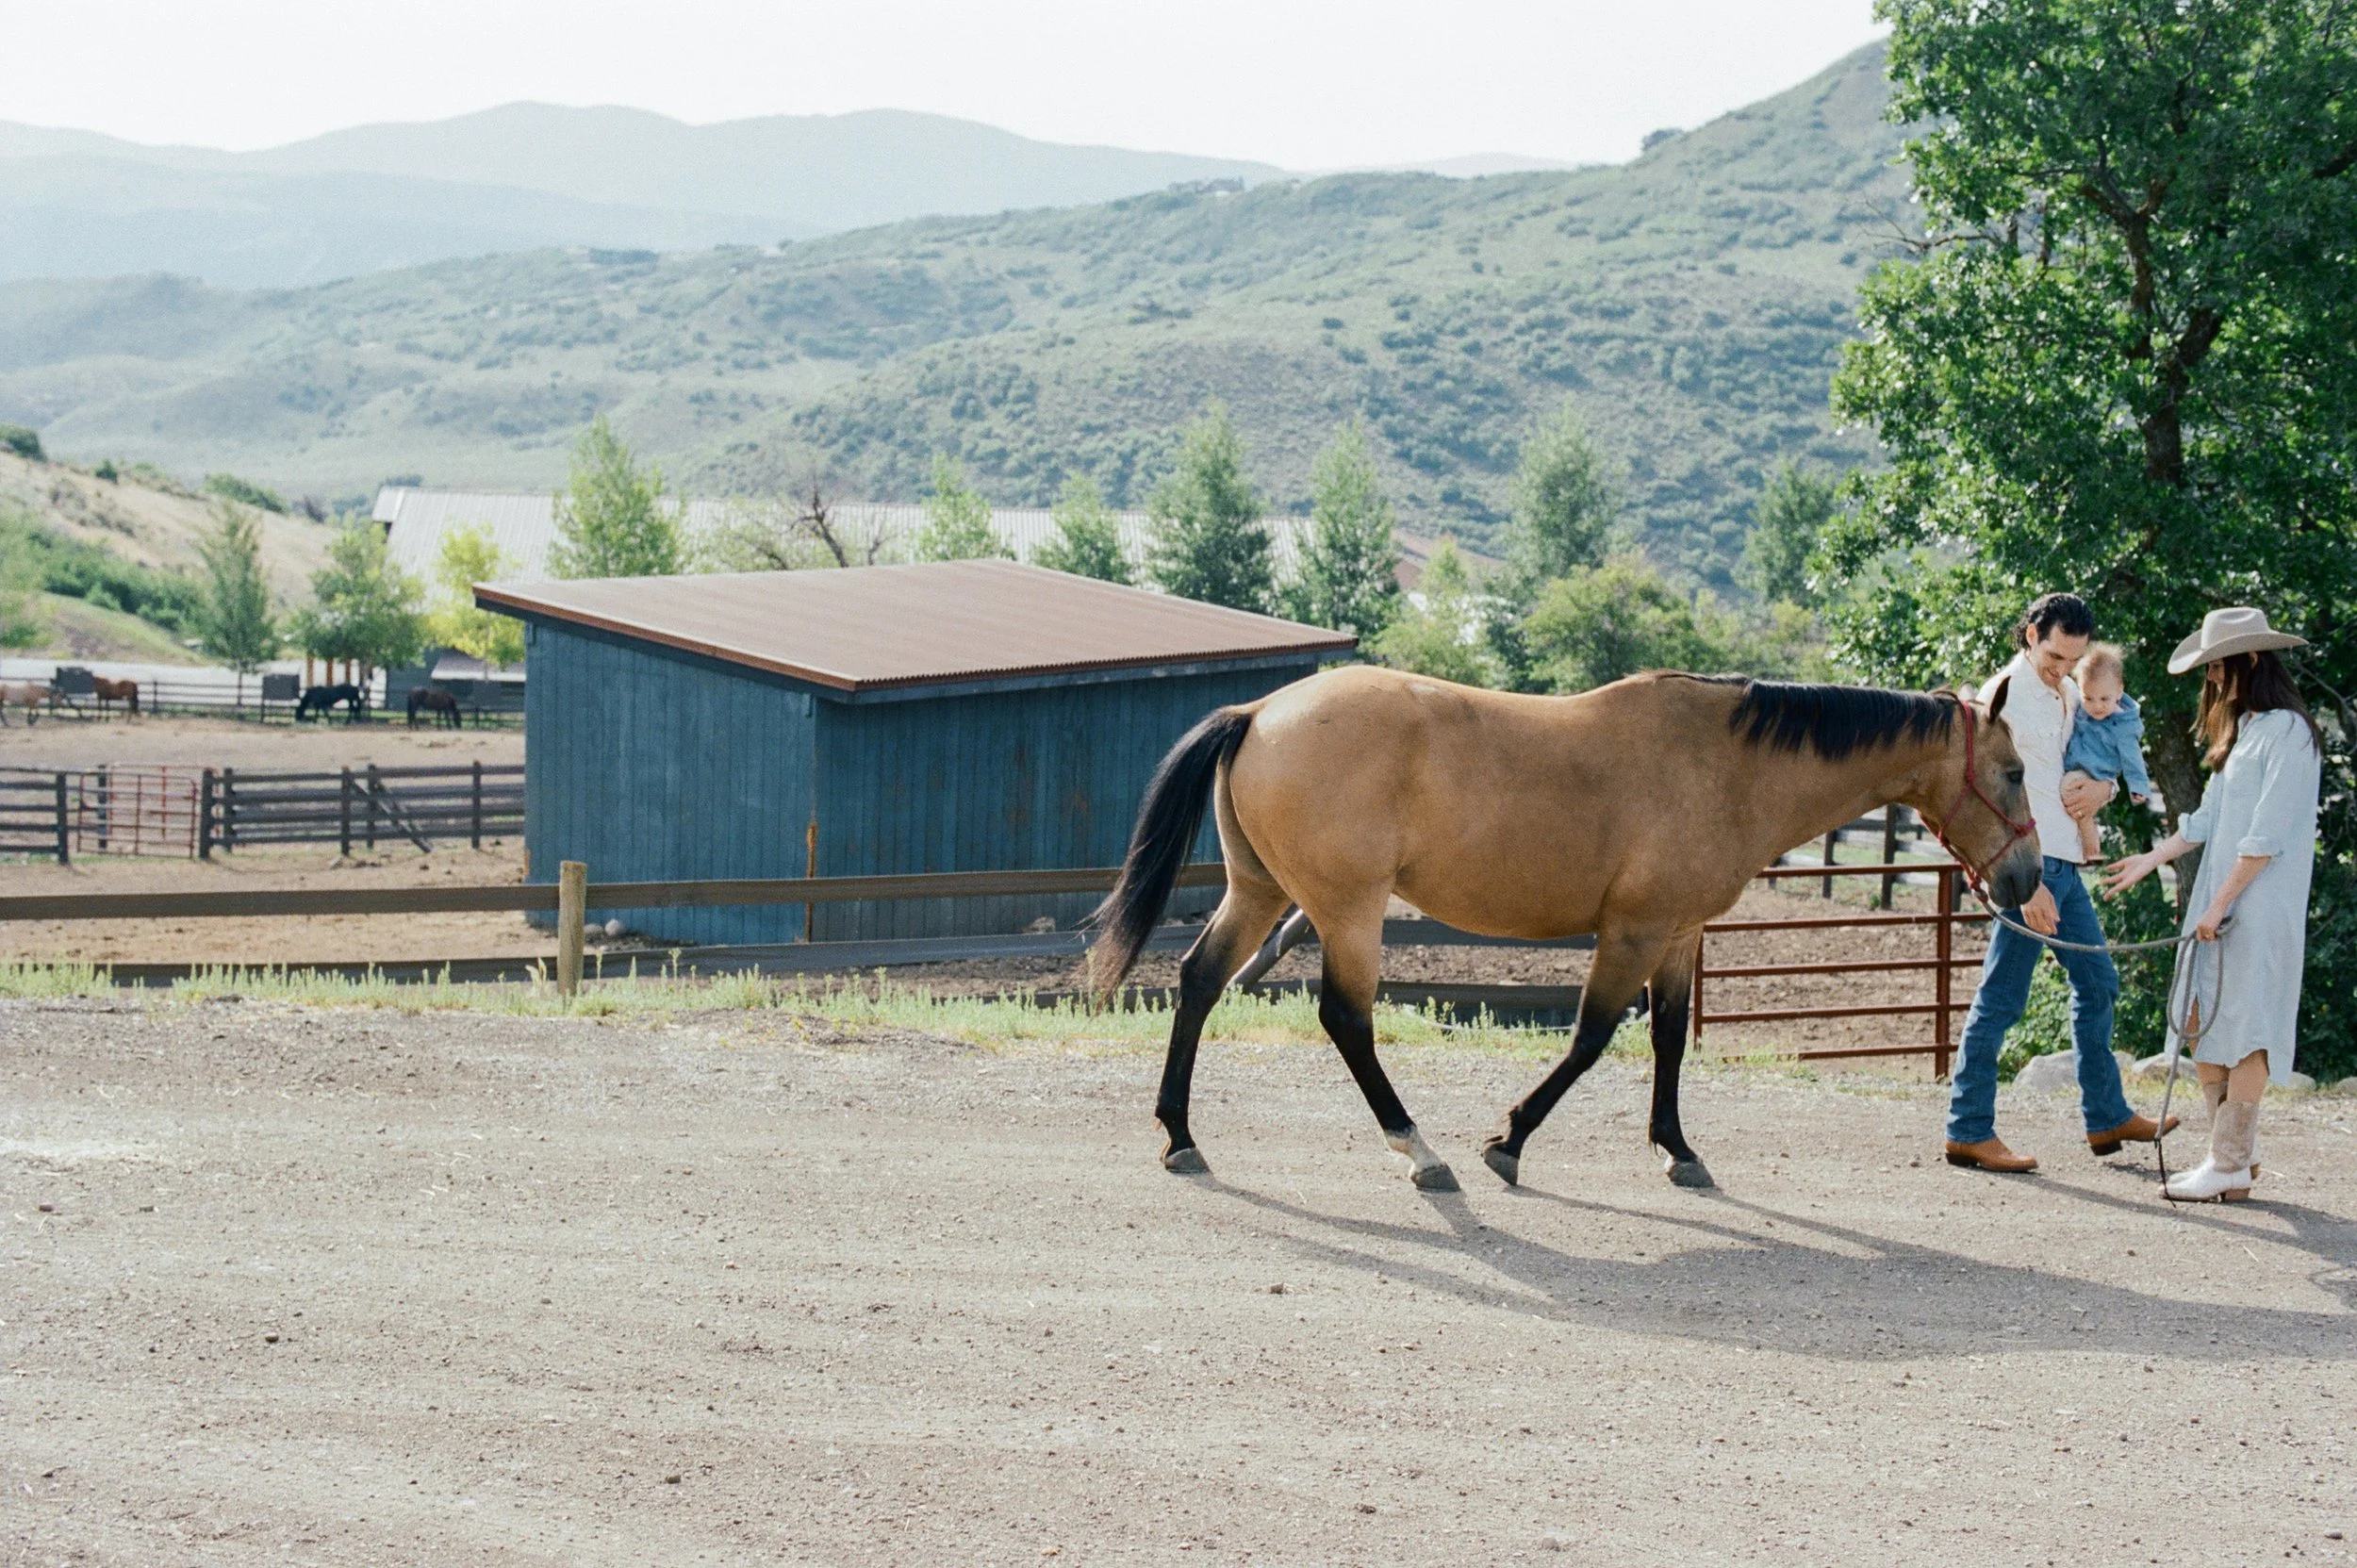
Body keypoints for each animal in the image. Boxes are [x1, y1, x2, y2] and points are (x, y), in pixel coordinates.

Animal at [1090, 665, 2046, 1193]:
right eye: (2014, 769)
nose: (2028, 880)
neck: (1731, 763)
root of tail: (1256, 713)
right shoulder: (1633, 931)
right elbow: (1590, 1038)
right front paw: (1507, 1140)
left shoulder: (1680, 934)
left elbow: (1667, 1039)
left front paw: (1678, 1149)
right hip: (1348, 909)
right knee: (1346, 1019)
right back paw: (1419, 1151)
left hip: (1257, 892)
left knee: (1199, 981)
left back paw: (1180, 1134)